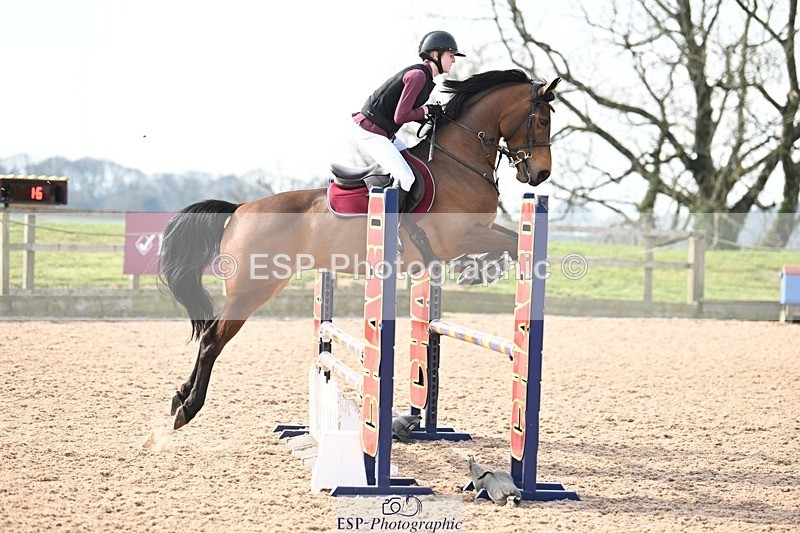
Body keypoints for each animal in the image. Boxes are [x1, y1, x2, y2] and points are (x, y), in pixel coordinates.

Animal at [160, 69, 561, 429]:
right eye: (541, 120)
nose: (540, 175)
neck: (459, 161)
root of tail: (240, 209)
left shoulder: (473, 234)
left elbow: (508, 241)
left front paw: (480, 271)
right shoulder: (459, 236)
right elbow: (510, 243)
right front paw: (479, 271)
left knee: (211, 334)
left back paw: (180, 397)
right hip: (252, 289)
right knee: (212, 339)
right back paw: (187, 408)